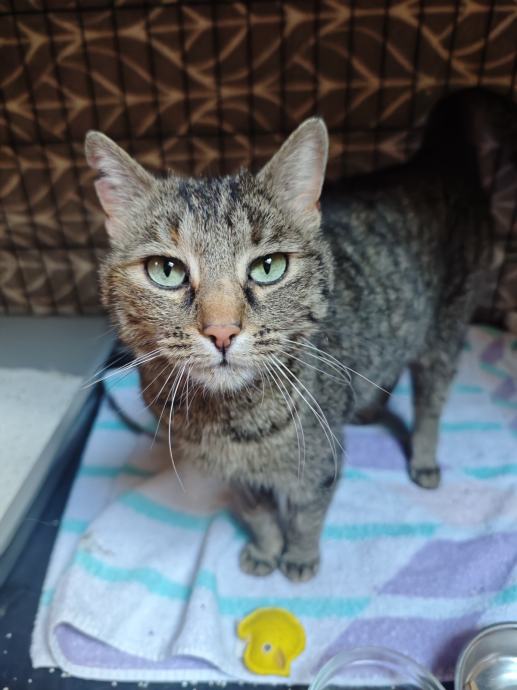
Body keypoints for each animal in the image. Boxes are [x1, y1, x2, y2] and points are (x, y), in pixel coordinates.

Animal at [85, 88, 514, 582]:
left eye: (268, 267)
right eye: (166, 270)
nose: (221, 331)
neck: (227, 420)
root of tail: (436, 157)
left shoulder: (318, 463)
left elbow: (306, 514)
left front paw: (299, 557)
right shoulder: (238, 477)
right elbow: (257, 513)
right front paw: (266, 550)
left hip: (446, 330)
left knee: (430, 405)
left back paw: (423, 459)